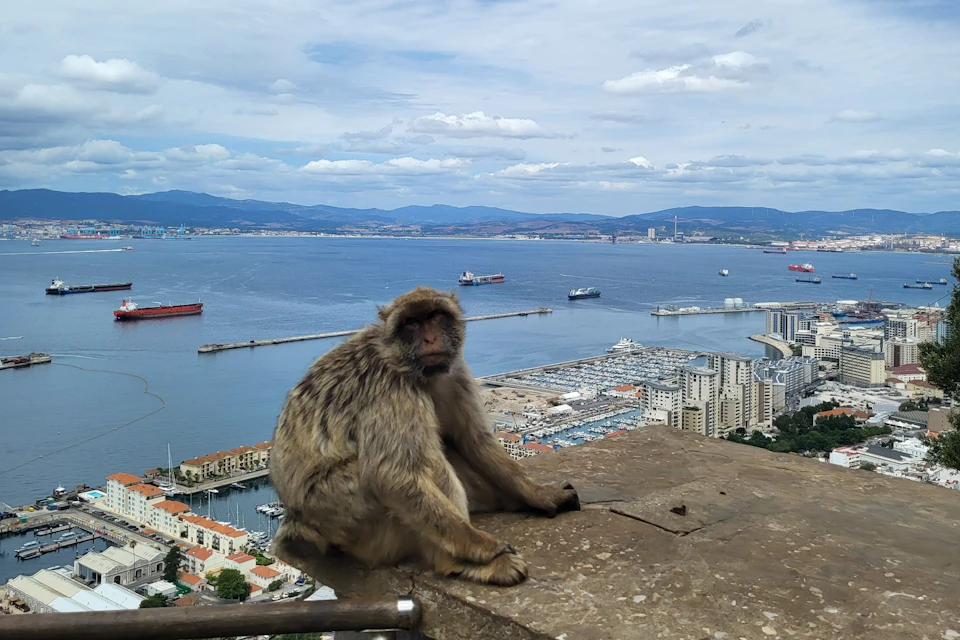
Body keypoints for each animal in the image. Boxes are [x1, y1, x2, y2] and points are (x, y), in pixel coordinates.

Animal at [270, 286, 580, 586]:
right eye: (411, 323)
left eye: (434, 316)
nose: (430, 338)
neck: (415, 370)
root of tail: (297, 522)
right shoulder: (392, 389)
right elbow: (391, 474)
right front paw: (481, 547)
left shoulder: (456, 375)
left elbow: (475, 441)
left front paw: (540, 495)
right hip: (340, 511)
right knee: (422, 460)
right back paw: (460, 563)